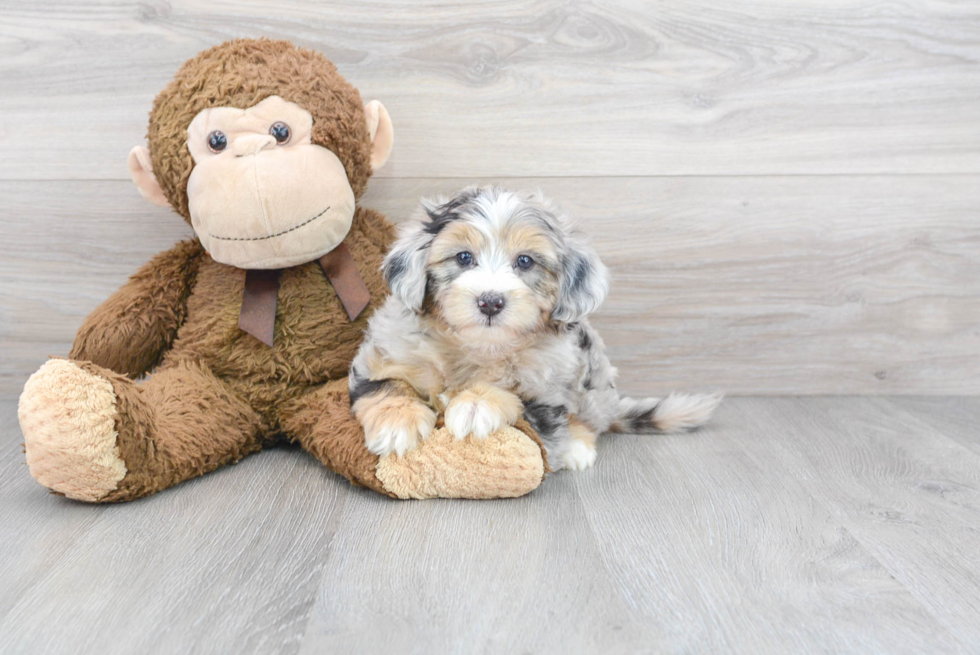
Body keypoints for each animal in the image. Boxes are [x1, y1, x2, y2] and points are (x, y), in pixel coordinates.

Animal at [348, 186, 716, 472]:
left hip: (591, 369)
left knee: (587, 419)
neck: (479, 346)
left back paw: (577, 448)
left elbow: (519, 398)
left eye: (525, 261)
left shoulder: (548, 389)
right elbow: (386, 383)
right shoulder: (383, 349)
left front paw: (476, 404)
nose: (490, 301)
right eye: (463, 257)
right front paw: (396, 425)